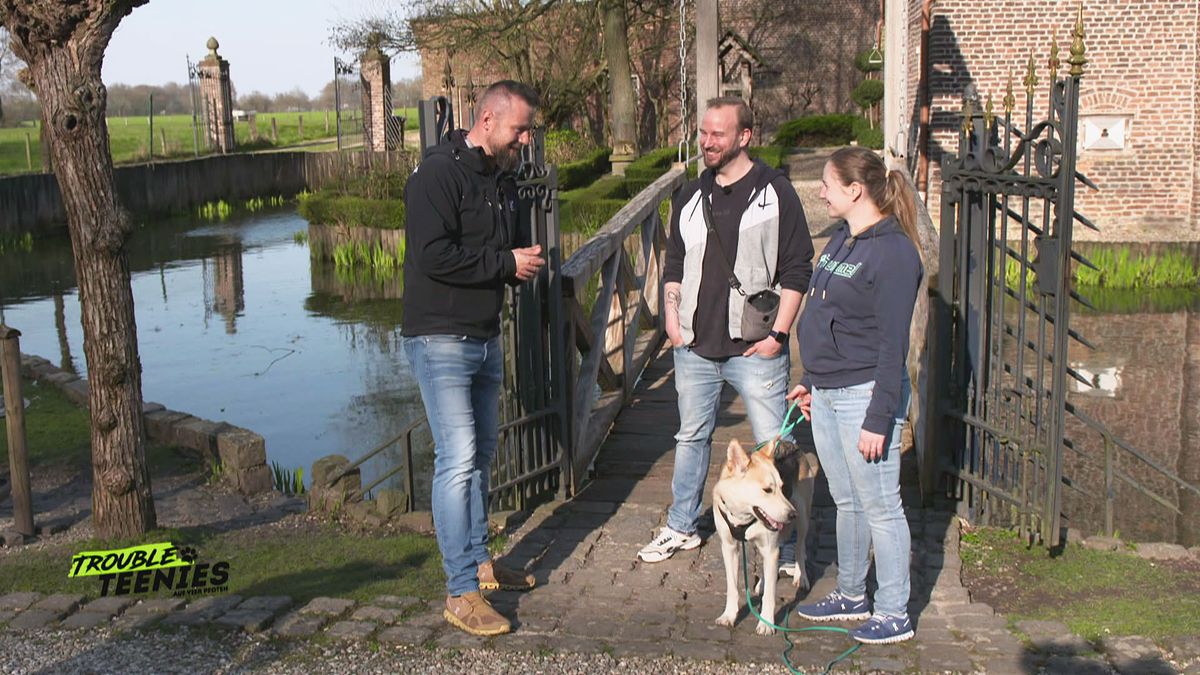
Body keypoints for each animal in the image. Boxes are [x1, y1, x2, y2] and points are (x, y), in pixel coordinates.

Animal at [715, 432, 820, 634]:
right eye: (767, 490)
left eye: (781, 486)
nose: (791, 514)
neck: (743, 517)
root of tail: (791, 445)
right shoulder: (729, 547)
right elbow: (732, 587)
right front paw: (729, 615)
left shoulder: (771, 548)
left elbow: (770, 595)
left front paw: (766, 623)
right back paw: (763, 581)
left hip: (803, 518)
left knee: (799, 548)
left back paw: (801, 576)